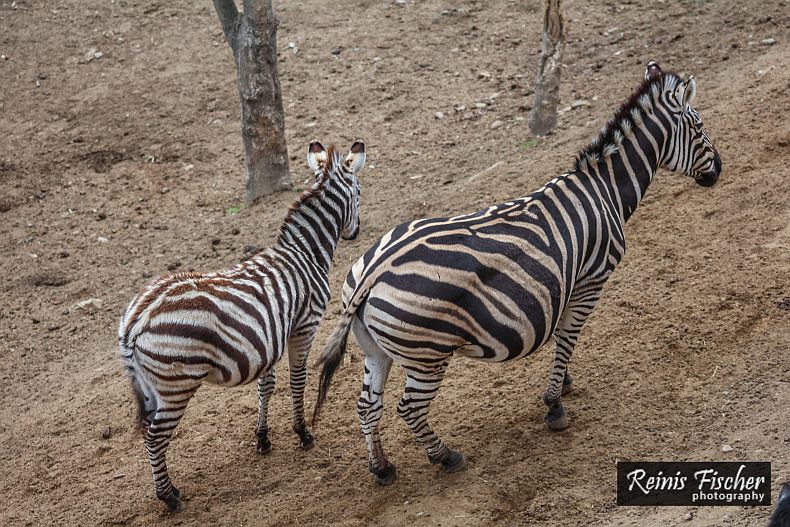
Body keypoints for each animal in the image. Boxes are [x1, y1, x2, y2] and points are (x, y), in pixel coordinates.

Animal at [118, 140, 366, 511]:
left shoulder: (270, 335)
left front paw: (263, 438)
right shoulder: (304, 326)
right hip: (176, 385)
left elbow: (266, 386)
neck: (303, 252)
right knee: (155, 437)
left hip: (152, 385)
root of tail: (137, 319)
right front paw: (303, 433)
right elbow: (297, 381)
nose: (355, 232)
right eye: (359, 192)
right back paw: (170, 497)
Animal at [312, 62, 721, 485]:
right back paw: (445, 456)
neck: (603, 190)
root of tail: (372, 273)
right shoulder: (590, 281)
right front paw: (554, 404)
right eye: (699, 126)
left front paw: (564, 382)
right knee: (408, 409)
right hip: (428, 355)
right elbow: (567, 338)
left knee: (367, 407)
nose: (718, 172)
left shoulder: (566, 284)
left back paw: (382, 467)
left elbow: (561, 337)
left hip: (376, 348)